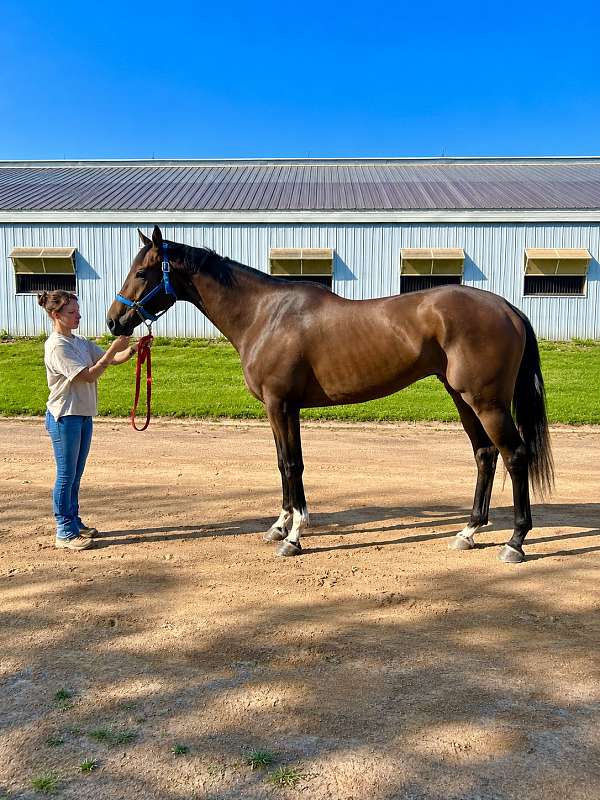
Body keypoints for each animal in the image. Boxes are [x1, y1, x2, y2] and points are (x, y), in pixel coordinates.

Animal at [107, 226, 554, 564]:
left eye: (143, 272)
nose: (114, 321)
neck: (264, 315)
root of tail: (509, 309)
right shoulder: (281, 409)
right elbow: (283, 464)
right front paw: (280, 526)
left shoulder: (281, 404)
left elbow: (292, 465)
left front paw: (294, 537)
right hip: (463, 399)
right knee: (485, 455)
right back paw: (468, 531)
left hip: (487, 402)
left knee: (515, 456)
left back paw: (515, 542)